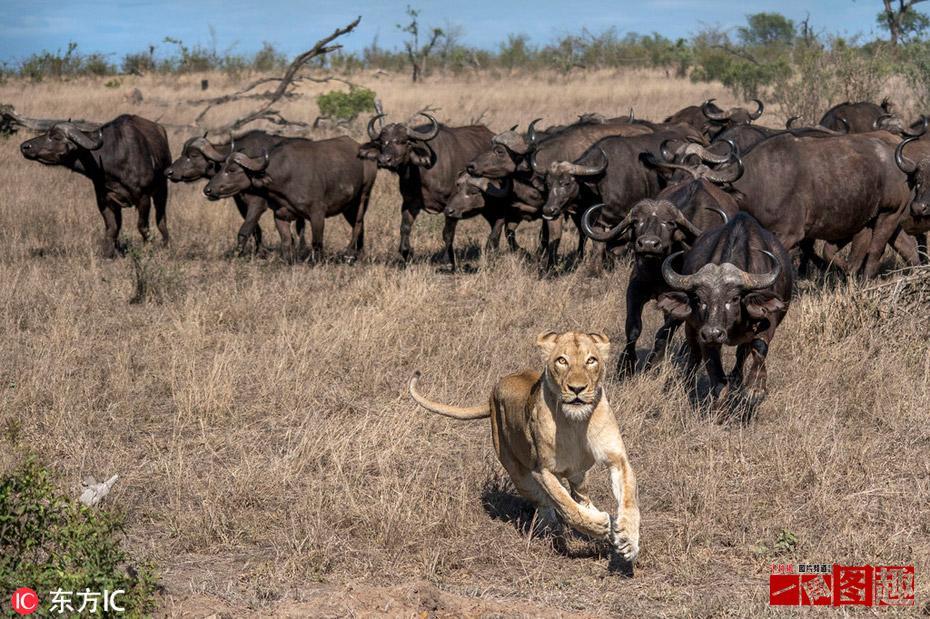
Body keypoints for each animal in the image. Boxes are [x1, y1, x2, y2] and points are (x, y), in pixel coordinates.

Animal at [20, 115, 170, 258]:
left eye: (56, 137)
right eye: (47, 133)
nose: (24, 146)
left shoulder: (143, 198)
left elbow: (142, 226)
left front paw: (148, 248)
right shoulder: (105, 201)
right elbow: (112, 228)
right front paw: (108, 254)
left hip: (162, 191)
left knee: (161, 219)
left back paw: (165, 243)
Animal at [163, 130, 300, 256]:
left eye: (193, 155)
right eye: (182, 153)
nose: (168, 172)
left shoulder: (258, 204)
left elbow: (244, 230)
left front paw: (240, 254)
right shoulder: (241, 203)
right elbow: (255, 230)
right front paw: (257, 252)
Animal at [205, 138, 376, 264]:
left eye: (232, 170)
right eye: (221, 167)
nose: (207, 190)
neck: (285, 176)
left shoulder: (317, 214)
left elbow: (316, 242)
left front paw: (317, 262)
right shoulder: (280, 216)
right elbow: (287, 241)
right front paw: (288, 261)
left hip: (363, 197)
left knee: (358, 225)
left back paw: (349, 254)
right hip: (348, 207)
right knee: (359, 226)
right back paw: (358, 254)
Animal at [358, 113, 492, 272]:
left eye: (402, 141)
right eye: (383, 142)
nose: (384, 160)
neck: (423, 173)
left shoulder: (451, 205)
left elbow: (447, 233)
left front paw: (448, 261)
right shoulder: (410, 202)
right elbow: (404, 228)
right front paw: (406, 253)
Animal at [652, 212, 792, 398]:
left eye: (734, 298)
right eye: (698, 299)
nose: (713, 333)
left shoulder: (768, 320)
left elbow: (759, 346)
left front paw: (755, 387)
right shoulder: (703, 336)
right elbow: (715, 374)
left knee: (741, 353)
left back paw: (737, 380)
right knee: (687, 349)